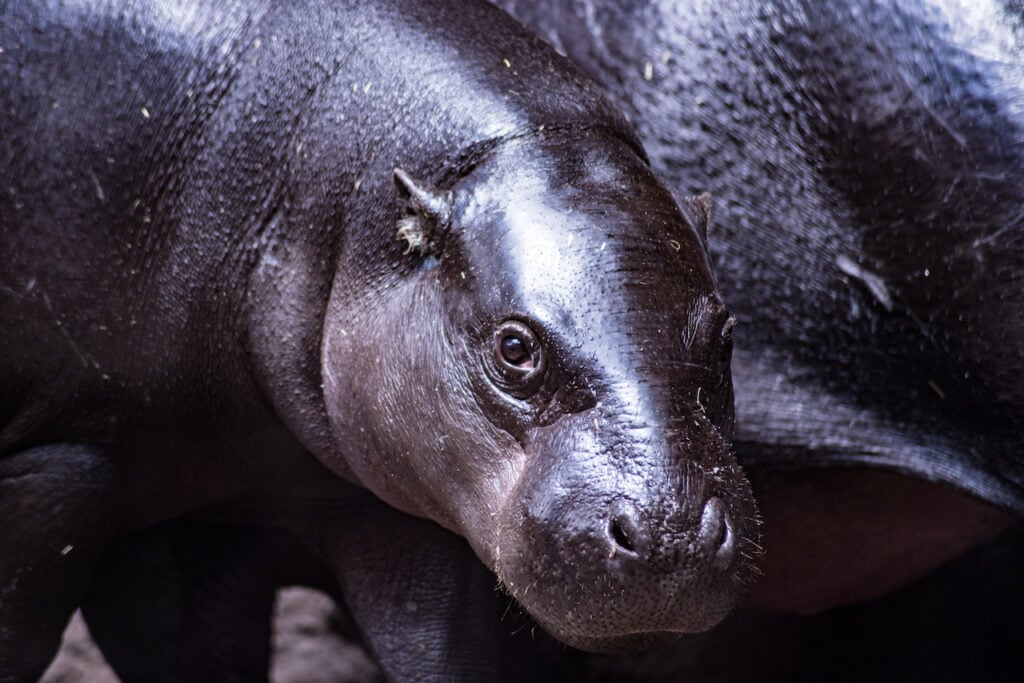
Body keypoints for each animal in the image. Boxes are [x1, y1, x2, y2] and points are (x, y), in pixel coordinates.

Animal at [0, 0, 761, 679]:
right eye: (515, 349)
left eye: (726, 335)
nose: (671, 536)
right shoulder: (61, 465)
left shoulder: (375, 509)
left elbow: (435, 650)